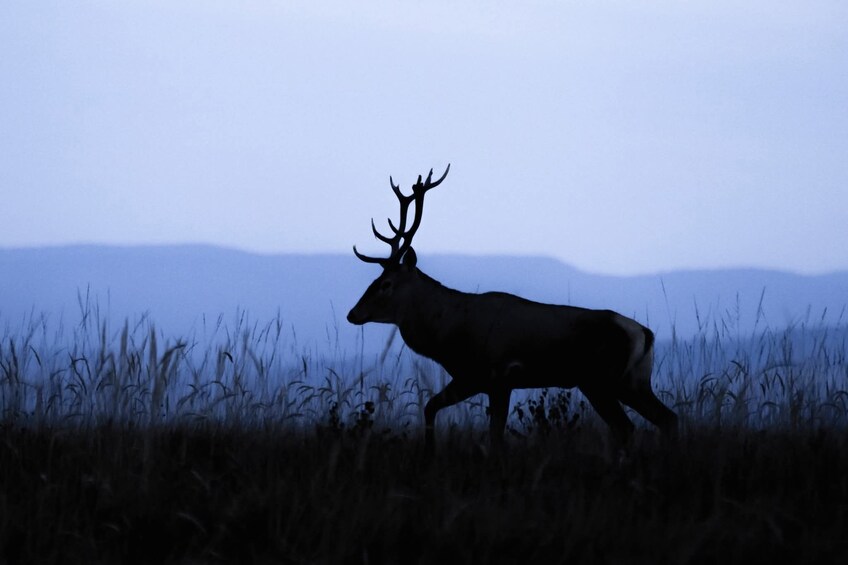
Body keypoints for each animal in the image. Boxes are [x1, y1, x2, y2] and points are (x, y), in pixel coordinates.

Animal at [347, 165, 678, 454]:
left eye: (386, 283)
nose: (353, 314)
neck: (450, 335)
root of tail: (644, 333)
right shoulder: (471, 378)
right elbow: (430, 407)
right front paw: (428, 453)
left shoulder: (498, 375)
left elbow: (494, 436)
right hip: (633, 381)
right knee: (667, 418)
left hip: (600, 379)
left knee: (627, 427)